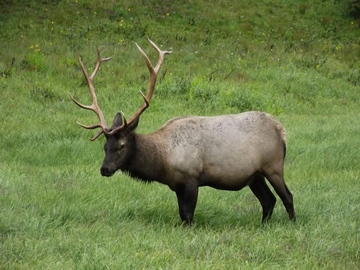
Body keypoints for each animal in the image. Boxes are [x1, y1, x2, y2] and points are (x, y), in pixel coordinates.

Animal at [70, 37, 296, 224]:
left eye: (122, 145)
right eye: (105, 146)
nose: (105, 169)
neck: (163, 161)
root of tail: (282, 131)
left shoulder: (192, 178)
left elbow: (188, 216)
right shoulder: (176, 185)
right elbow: (182, 215)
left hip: (273, 165)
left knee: (287, 196)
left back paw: (292, 224)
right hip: (254, 175)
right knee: (268, 200)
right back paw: (263, 225)